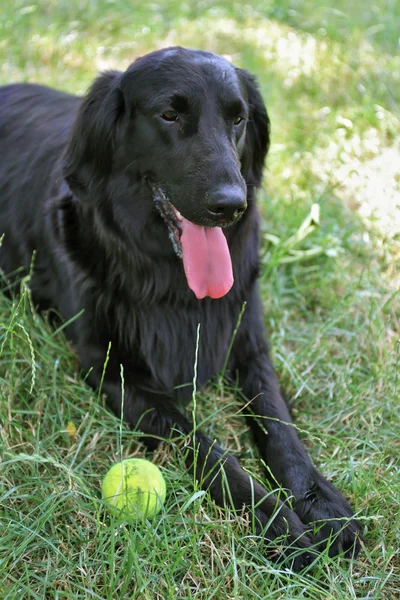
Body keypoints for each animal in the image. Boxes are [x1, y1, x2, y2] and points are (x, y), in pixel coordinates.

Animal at [0, 45, 362, 568]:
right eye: (169, 115)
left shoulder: (250, 343)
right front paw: (277, 521)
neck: (169, 278)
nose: (230, 205)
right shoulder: (111, 370)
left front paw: (319, 499)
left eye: (238, 118)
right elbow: (206, 445)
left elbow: (279, 423)